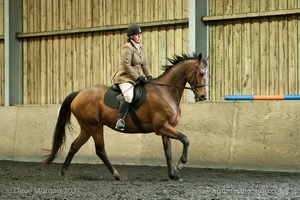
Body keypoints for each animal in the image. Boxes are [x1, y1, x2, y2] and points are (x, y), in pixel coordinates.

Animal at [45, 52, 209, 180]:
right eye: (201, 73)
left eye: (207, 74)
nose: (202, 97)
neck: (165, 92)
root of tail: (79, 93)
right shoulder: (162, 127)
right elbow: (185, 139)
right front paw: (180, 165)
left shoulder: (166, 128)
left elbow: (168, 152)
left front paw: (173, 174)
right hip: (95, 127)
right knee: (100, 150)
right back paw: (117, 175)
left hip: (87, 128)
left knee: (74, 146)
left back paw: (64, 173)